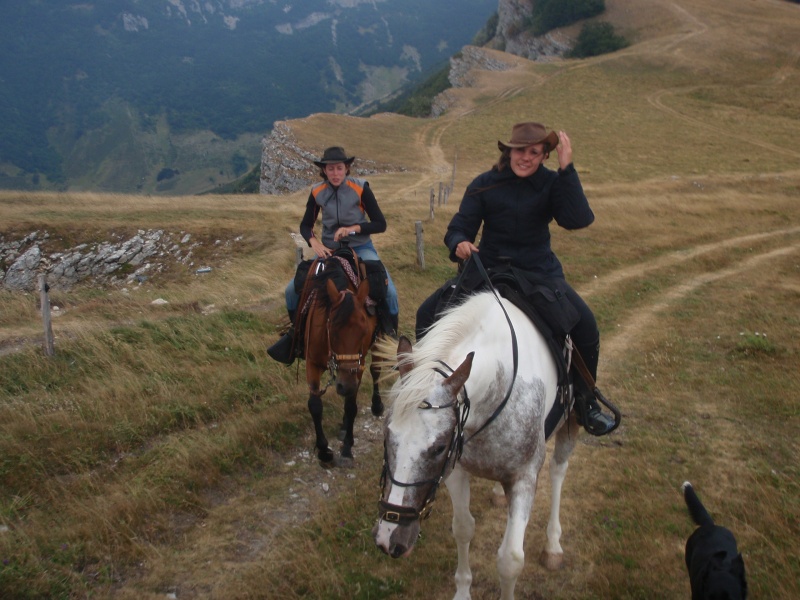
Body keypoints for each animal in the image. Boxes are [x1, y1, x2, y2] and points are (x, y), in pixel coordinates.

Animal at [296, 253, 384, 464]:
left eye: (364, 331)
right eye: (332, 329)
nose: (346, 386)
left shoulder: (358, 364)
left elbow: (351, 406)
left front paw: (346, 449)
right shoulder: (312, 363)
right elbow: (315, 405)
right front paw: (323, 450)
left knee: (376, 370)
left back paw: (377, 406)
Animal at [372, 290, 580, 600]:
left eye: (438, 447)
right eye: (387, 435)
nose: (390, 539)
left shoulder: (525, 478)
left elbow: (510, 560)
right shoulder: (455, 470)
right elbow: (463, 528)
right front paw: (462, 590)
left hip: (571, 423)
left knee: (558, 472)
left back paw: (553, 545)